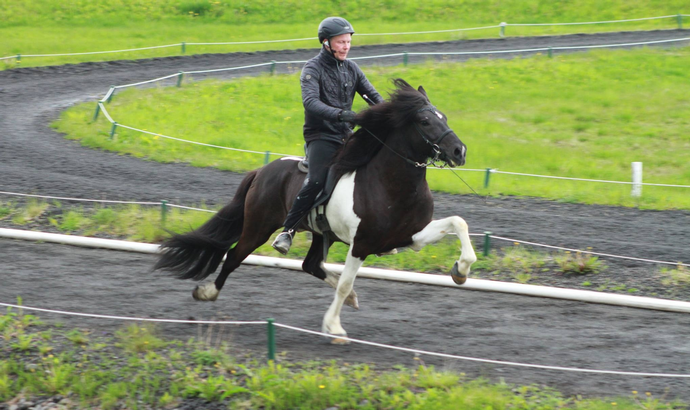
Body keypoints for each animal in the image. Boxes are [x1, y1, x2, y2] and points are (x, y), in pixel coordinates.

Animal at [155, 78, 478, 342]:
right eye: (424, 121)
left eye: (443, 116)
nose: (459, 151)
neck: (391, 183)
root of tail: (263, 170)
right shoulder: (362, 244)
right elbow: (345, 283)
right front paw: (334, 327)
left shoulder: (410, 237)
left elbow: (458, 223)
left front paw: (460, 271)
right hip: (259, 226)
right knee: (234, 256)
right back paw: (207, 292)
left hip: (323, 235)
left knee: (310, 265)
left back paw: (352, 299)